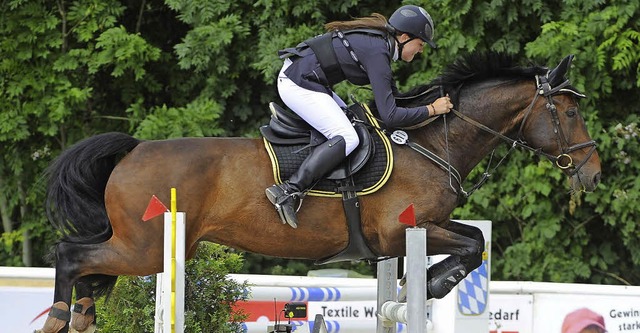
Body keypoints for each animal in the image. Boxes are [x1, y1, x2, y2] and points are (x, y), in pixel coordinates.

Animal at [38, 53, 600, 330]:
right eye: (571, 112)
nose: (591, 173)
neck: (431, 142)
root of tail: (132, 150)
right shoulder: (404, 231)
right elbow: (472, 243)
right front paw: (434, 285)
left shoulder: (417, 231)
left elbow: (473, 241)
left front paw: (428, 285)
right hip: (148, 248)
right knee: (71, 256)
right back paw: (61, 320)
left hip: (147, 247)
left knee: (88, 269)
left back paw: (80, 320)